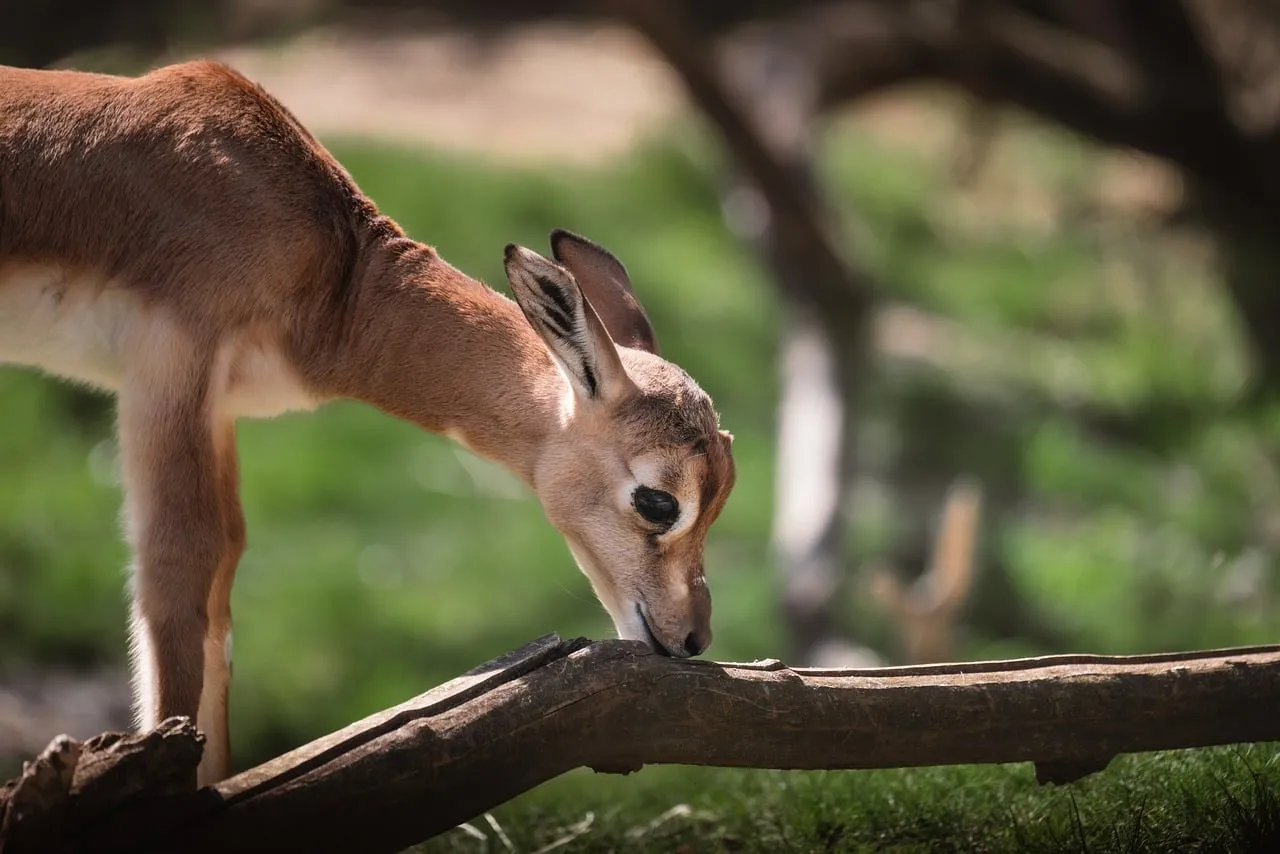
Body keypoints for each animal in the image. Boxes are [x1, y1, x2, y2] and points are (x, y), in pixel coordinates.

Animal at [0, 59, 737, 786]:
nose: (693, 636)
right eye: (657, 500)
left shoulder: (216, 408)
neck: (337, 277)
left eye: (721, 495)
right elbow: (178, 568)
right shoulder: (168, 365)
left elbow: (223, 577)